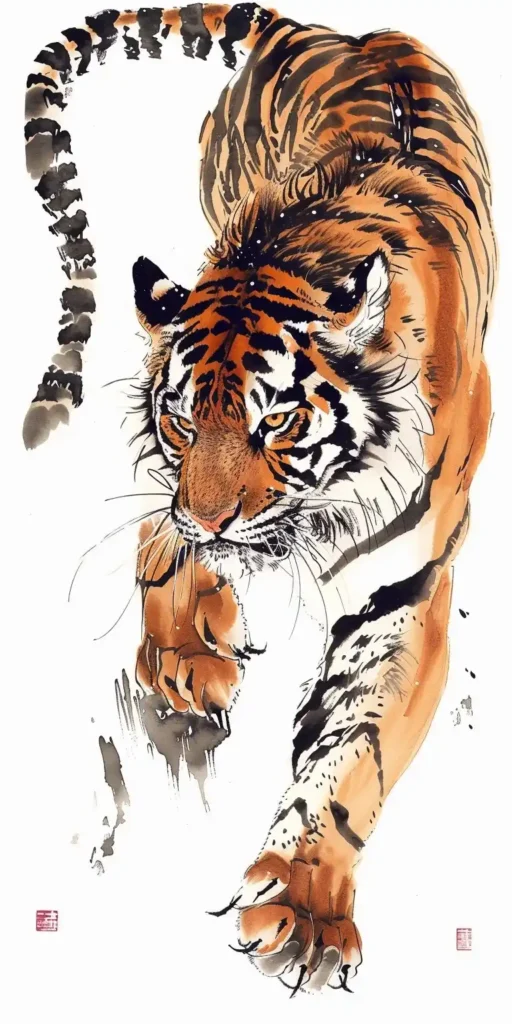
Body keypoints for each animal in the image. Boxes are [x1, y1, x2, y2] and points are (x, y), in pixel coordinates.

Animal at [24, 3, 495, 995]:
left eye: (275, 421)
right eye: (180, 420)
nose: (211, 515)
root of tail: (326, 30)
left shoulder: (405, 590)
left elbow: (353, 754)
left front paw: (304, 907)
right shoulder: (174, 490)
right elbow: (156, 543)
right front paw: (183, 658)